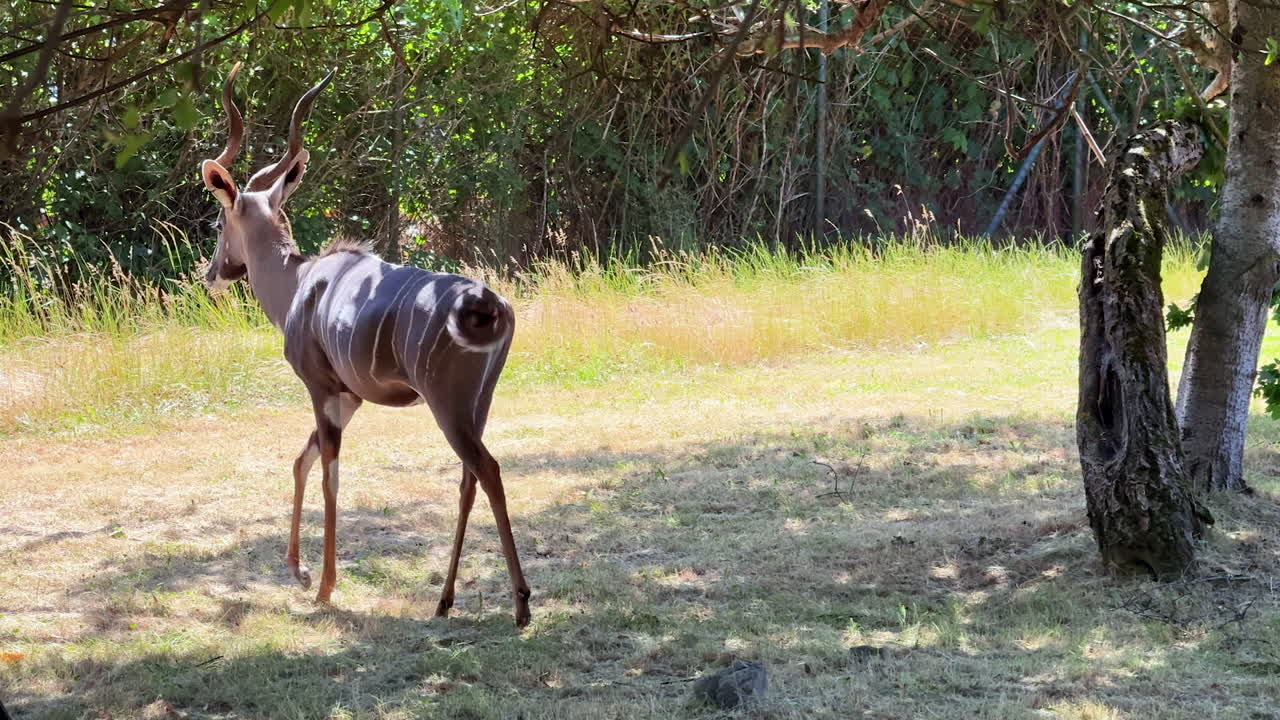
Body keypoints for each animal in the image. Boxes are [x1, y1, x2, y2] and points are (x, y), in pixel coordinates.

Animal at [198, 64, 531, 627]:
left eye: (222, 222)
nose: (212, 273)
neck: (298, 282)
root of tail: (488, 304)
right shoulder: (349, 396)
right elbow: (303, 458)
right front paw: (297, 570)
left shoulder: (322, 388)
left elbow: (329, 474)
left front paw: (324, 587)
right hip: (478, 405)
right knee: (469, 480)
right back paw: (444, 600)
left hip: (447, 405)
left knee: (487, 470)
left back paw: (521, 603)